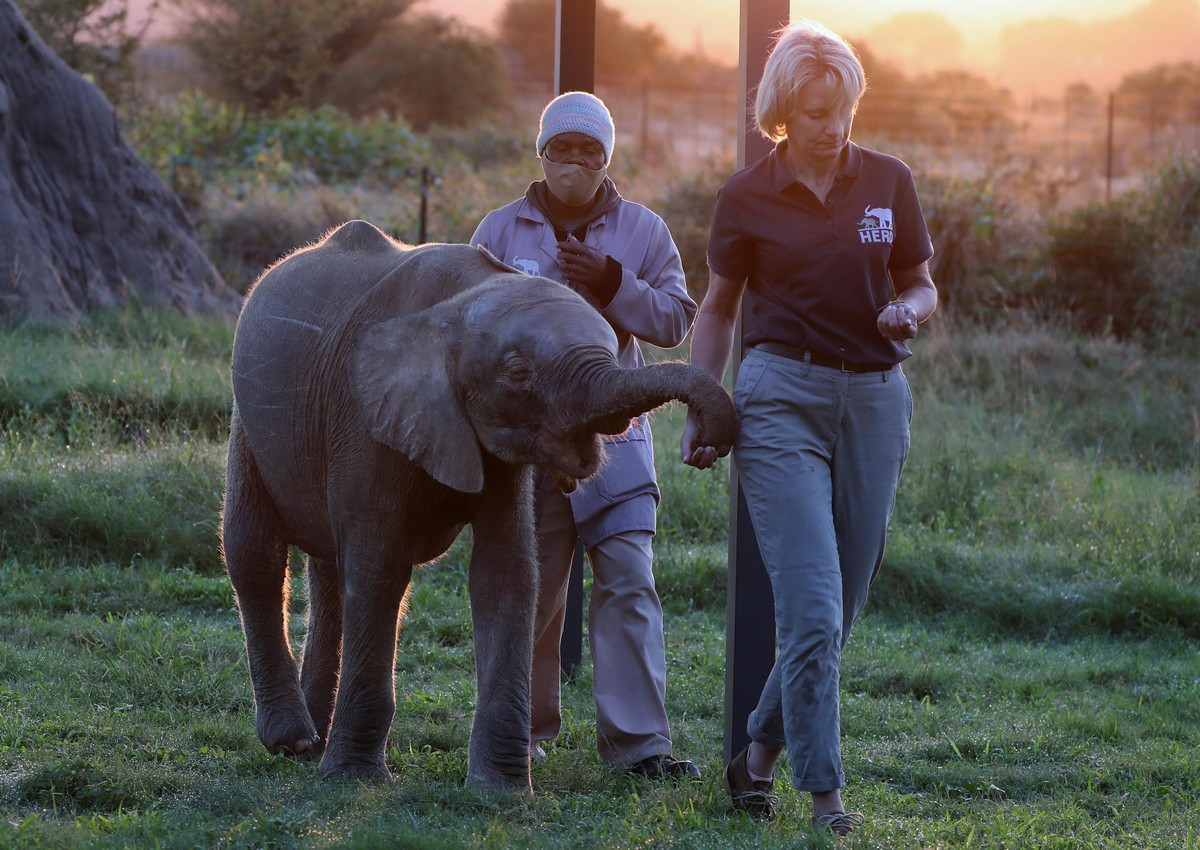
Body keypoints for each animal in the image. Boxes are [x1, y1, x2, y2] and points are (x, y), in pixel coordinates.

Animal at [220, 219, 734, 792]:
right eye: (517, 373)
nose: (706, 444)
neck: (460, 302)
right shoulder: (364, 413)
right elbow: (380, 570)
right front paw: (356, 780)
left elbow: (506, 572)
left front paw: (502, 791)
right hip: (249, 420)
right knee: (256, 552)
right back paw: (293, 740)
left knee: (330, 571)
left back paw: (313, 743)